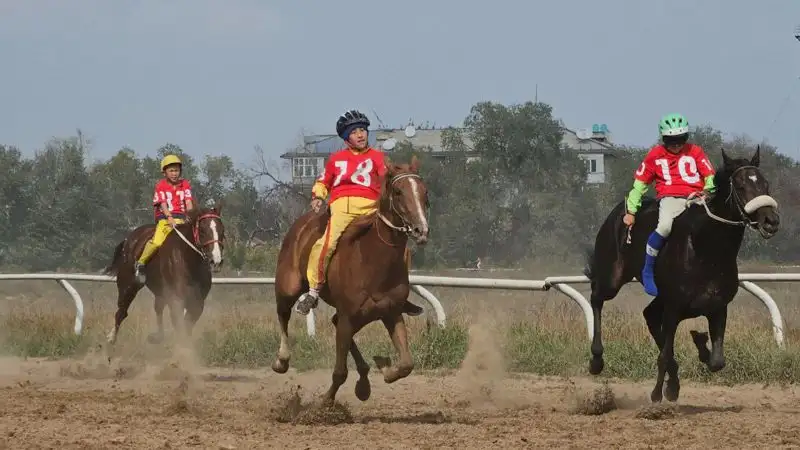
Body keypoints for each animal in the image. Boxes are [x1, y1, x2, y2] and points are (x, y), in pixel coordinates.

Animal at [103, 204, 227, 344]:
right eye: (202, 231)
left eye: (222, 231)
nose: (216, 261)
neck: (187, 259)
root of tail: (128, 239)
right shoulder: (176, 298)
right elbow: (179, 323)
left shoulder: (198, 301)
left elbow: (188, 323)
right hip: (128, 284)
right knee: (122, 311)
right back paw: (111, 339)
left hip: (159, 291)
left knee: (157, 308)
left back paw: (157, 336)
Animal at [270, 156, 432, 404]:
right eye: (398, 191)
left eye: (424, 192)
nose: (420, 230)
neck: (373, 261)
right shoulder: (349, 316)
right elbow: (339, 371)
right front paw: (325, 401)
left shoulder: (391, 312)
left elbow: (406, 364)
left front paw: (384, 368)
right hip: (289, 285)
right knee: (283, 313)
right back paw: (282, 359)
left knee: (334, 321)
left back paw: (364, 379)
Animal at [584, 147, 780, 400]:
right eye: (740, 186)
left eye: (765, 184)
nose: (771, 221)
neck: (706, 249)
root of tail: (621, 210)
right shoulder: (675, 306)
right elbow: (665, 354)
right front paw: (658, 393)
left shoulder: (717, 307)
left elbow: (717, 361)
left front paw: (699, 346)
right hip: (612, 277)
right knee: (597, 298)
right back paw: (596, 359)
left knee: (649, 314)